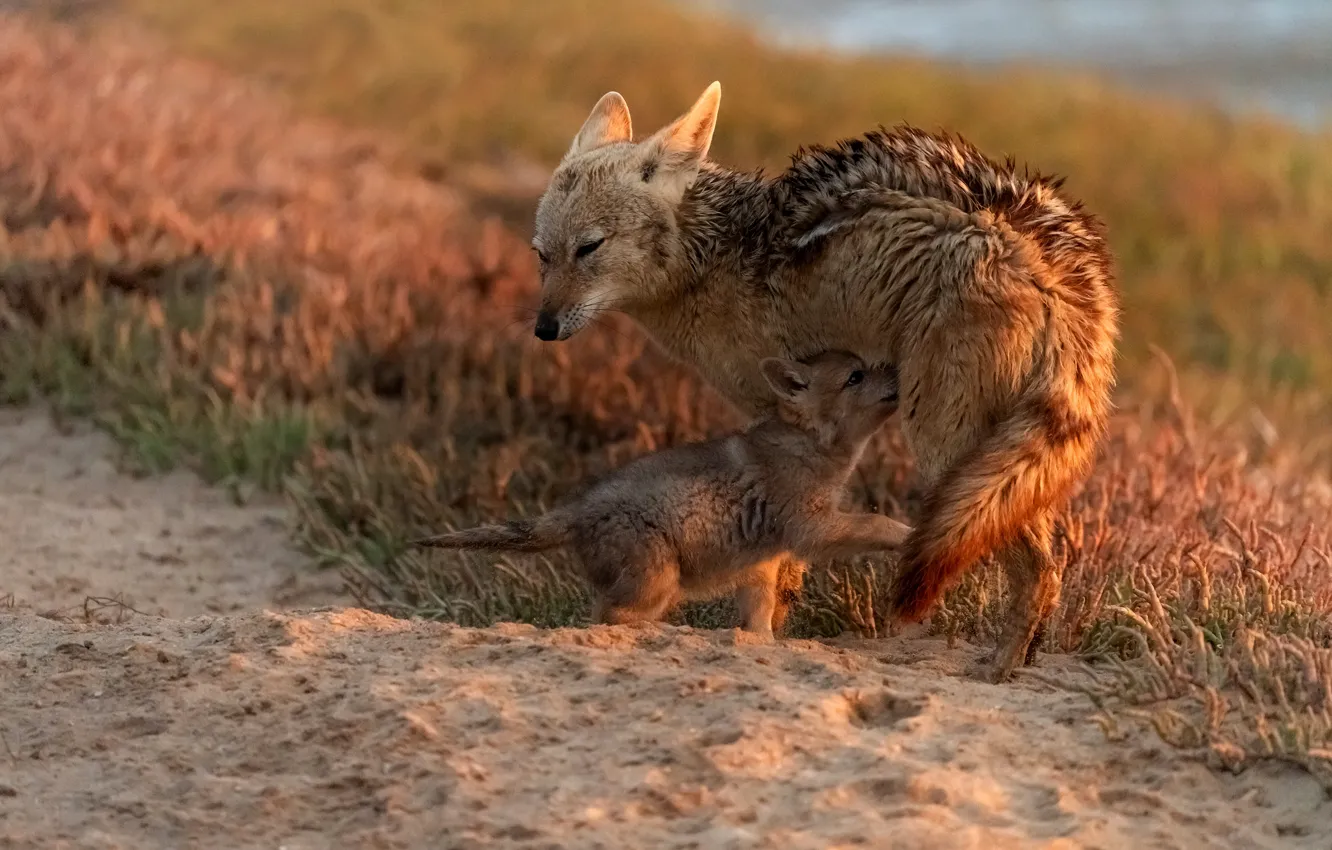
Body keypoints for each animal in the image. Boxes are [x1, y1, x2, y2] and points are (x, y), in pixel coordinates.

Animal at [415, 352, 910, 637]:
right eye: (855, 376)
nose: (903, 371)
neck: (806, 442)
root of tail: (573, 512)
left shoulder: (763, 566)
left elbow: (760, 623)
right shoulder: (813, 527)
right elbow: (878, 521)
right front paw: (912, 535)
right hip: (658, 581)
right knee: (607, 618)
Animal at [528, 82, 1118, 680]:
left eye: (590, 247)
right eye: (542, 256)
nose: (543, 328)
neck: (717, 261)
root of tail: (1059, 266)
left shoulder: (776, 415)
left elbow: (777, 565)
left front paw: (766, 630)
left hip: (945, 450)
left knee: (1035, 566)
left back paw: (998, 670)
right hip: (1006, 467)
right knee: (1051, 563)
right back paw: (1024, 660)